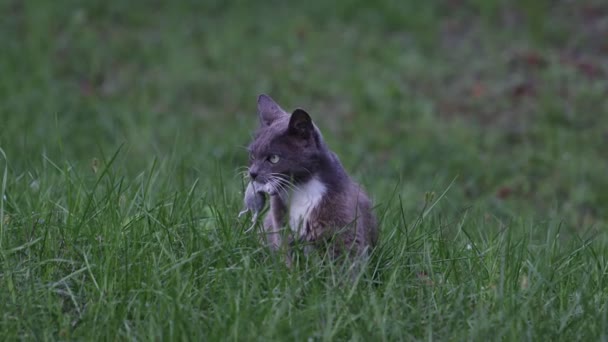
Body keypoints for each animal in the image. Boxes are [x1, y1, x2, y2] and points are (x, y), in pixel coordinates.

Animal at [245, 94, 378, 268]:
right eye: (252, 155)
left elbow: (348, 260)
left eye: (274, 158)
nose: (252, 173)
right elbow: (287, 258)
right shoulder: (281, 227)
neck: (300, 188)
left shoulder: (344, 226)